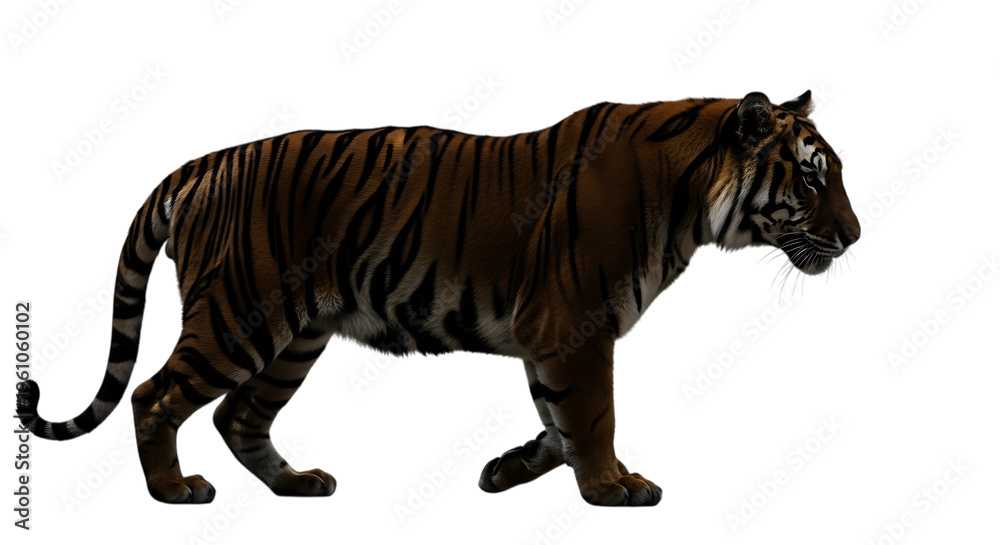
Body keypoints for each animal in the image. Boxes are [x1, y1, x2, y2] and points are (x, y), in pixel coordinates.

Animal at [17, 90, 860, 507]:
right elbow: (592, 416)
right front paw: (613, 486)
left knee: (238, 415)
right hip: (239, 317)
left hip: (294, 338)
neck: (690, 199)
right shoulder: (576, 327)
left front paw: (507, 471)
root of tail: (200, 164)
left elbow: (557, 419)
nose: (855, 236)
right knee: (155, 396)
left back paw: (296, 483)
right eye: (811, 177)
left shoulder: (550, 336)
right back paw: (174, 490)